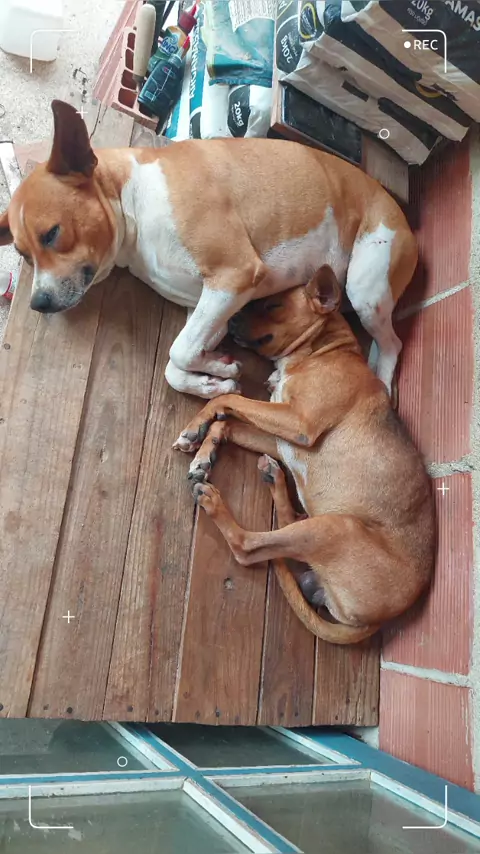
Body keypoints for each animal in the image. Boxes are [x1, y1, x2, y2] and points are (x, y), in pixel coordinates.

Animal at [0, 100, 417, 399]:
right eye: (22, 254)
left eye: (52, 233)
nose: (38, 303)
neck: (133, 199)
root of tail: (404, 217)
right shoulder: (211, 303)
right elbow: (178, 359)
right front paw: (214, 377)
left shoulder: (234, 275)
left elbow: (178, 351)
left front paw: (214, 371)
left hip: (366, 290)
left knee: (393, 344)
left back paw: (380, 384)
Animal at [173, 266, 435, 644]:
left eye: (273, 304)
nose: (231, 317)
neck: (319, 352)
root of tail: (380, 619)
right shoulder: (283, 437)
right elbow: (229, 421)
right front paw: (202, 447)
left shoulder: (299, 423)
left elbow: (227, 399)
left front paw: (197, 431)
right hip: (313, 523)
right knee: (285, 524)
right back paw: (274, 479)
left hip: (332, 527)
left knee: (248, 547)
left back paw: (213, 501)